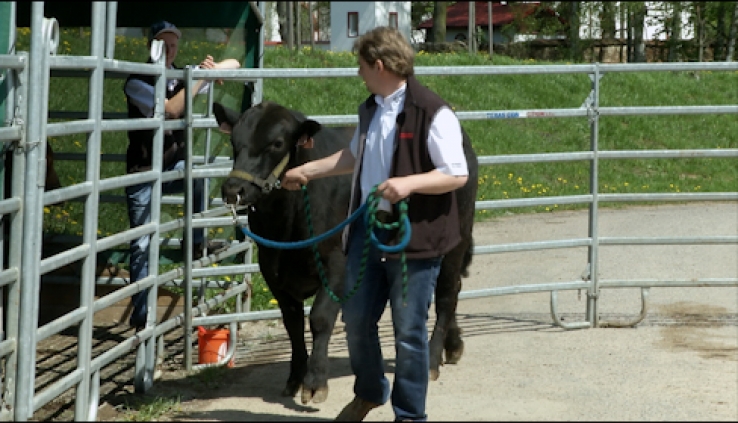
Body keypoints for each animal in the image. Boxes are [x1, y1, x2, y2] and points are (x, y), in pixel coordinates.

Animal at [211, 101, 478, 406]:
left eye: (277, 143)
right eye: (234, 141)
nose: (234, 189)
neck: (288, 220)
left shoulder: (336, 264)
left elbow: (319, 318)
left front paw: (314, 382)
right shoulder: (272, 270)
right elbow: (292, 324)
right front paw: (294, 378)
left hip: (456, 239)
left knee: (446, 294)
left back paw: (432, 360)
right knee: (453, 288)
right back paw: (453, 345)